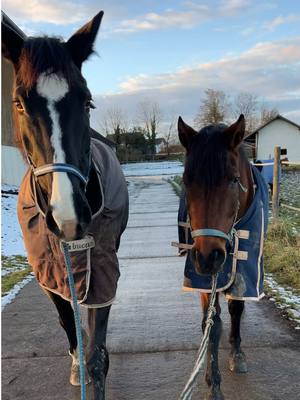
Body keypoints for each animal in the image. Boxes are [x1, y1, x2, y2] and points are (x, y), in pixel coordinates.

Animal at [2, 10, 129, 398]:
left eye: (86, 101)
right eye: (19, 102)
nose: (68, 218)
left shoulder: (102, 269)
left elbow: (98, 354)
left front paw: (96, 365)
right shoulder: (47, 272)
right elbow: (67, 322)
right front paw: (78, 363)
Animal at [177, 115, 268, 400]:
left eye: (233, 179)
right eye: (186, 181)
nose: (208, 258)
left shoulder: (244, 267)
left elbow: (236, 308)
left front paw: (237, 353)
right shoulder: (203, 278)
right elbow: (212, 324)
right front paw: (213, 384)